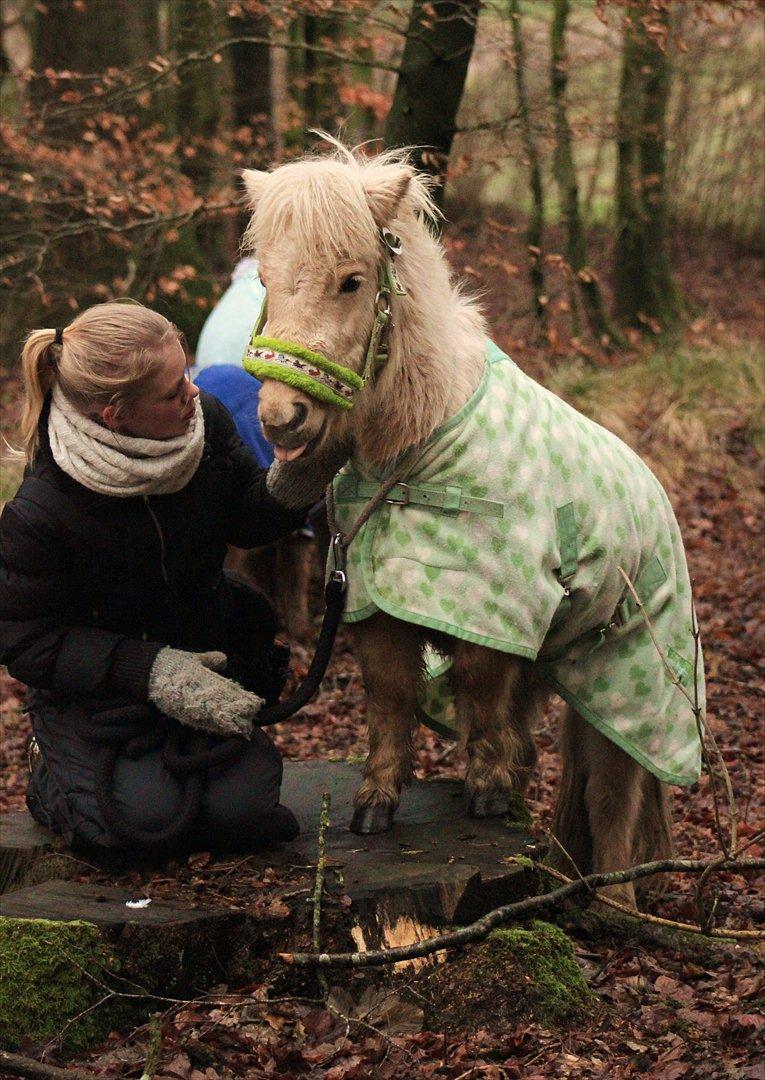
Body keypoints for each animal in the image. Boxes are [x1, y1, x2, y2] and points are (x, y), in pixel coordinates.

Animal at [242, 139, 700, 907]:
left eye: (351, 281)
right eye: (266, 279)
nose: (283, 419)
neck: (421, 440)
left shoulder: (496, 608)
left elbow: (480, 688)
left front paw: (483, 792)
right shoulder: (377, 609)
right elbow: (392, 696)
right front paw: (377, 801)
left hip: (630, 680)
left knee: (613, 794)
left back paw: (616, 902)